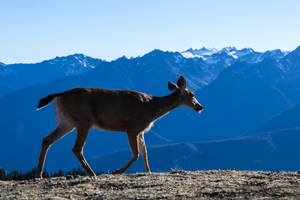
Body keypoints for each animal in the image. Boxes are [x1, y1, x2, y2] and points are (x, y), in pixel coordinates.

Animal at [35, 76, 204, 177]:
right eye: (192, 94)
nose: (200, 107)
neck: (152, 109)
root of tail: (59, 95)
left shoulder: (141, 131)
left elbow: (145, 152)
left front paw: (148, 172)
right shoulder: (132, 127)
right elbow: (136, 154)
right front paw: (117, 171)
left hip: (67, 121)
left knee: (46, 140)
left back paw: (39, 175)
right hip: (84, 121)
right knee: (76, 148)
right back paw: (92, 174)